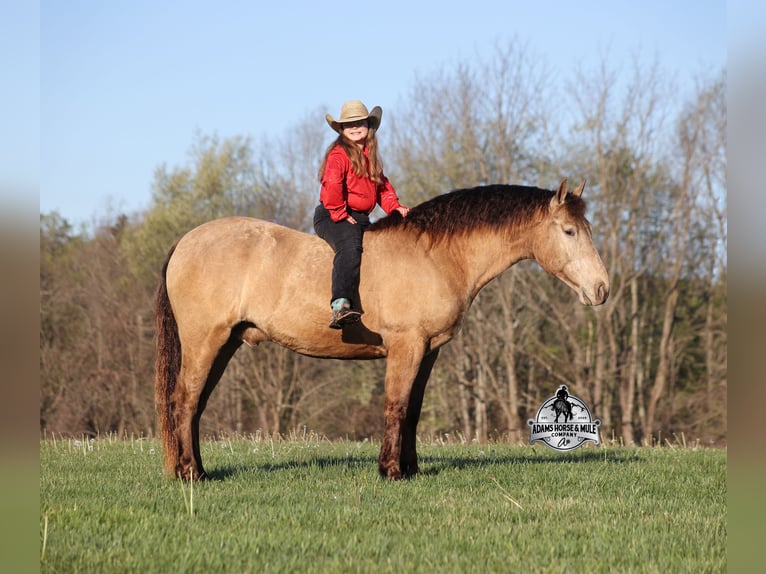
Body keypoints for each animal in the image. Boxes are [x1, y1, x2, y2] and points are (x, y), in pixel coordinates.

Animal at [155, 179, 609, 481]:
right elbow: (396, 405)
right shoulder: (406, 345)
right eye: (569, 231)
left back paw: (194, 469)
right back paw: (190, 473)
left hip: (224, 344)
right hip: (205, 341)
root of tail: (184, 242)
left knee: (194, 406)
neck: (435, 255)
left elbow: (413, 410)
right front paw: (390, 469)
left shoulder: (428, 350)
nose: (602, 289)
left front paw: (410, 468)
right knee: (184, 401)